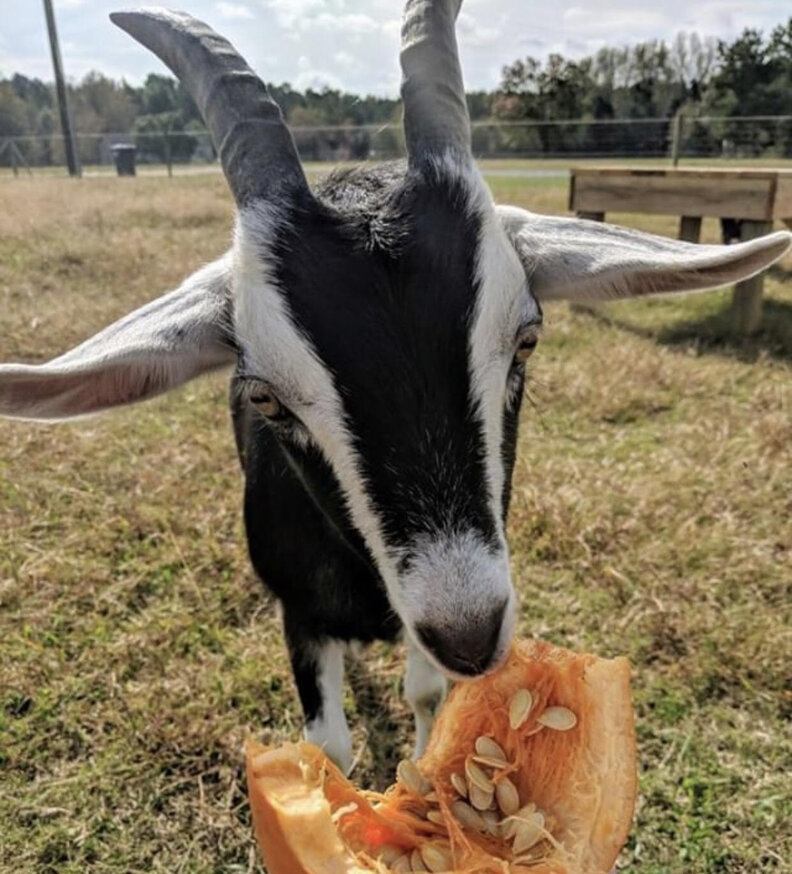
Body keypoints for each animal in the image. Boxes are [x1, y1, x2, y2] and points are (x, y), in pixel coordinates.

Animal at [0, 0, 789, 774]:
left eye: (526, 340)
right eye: (264, 396)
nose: (469, 633)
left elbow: (425, 694)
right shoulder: (297, 610)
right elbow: (327, 748)